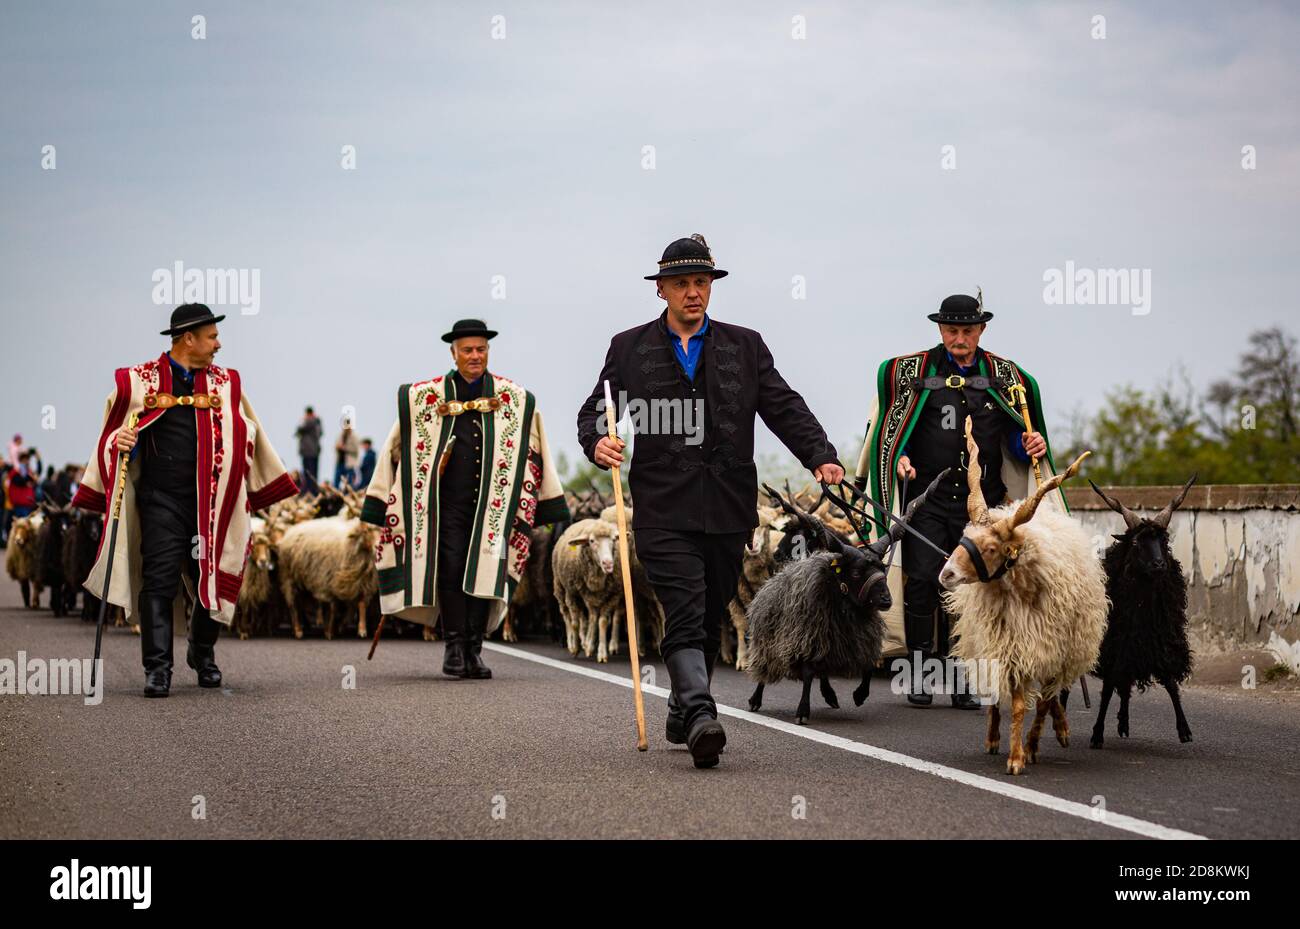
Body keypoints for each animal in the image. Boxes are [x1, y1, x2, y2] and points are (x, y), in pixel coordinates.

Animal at [1092, 475, 1190, 753]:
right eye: (1136, 542)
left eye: (1163, 542)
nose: (1159, 564)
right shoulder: (1113, 647)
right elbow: (1106, 690)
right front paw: (1097, 734)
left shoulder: (1158, 642)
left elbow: (1171, 684)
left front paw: (1184, 730)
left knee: (1124, 685)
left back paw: (1124, 723)